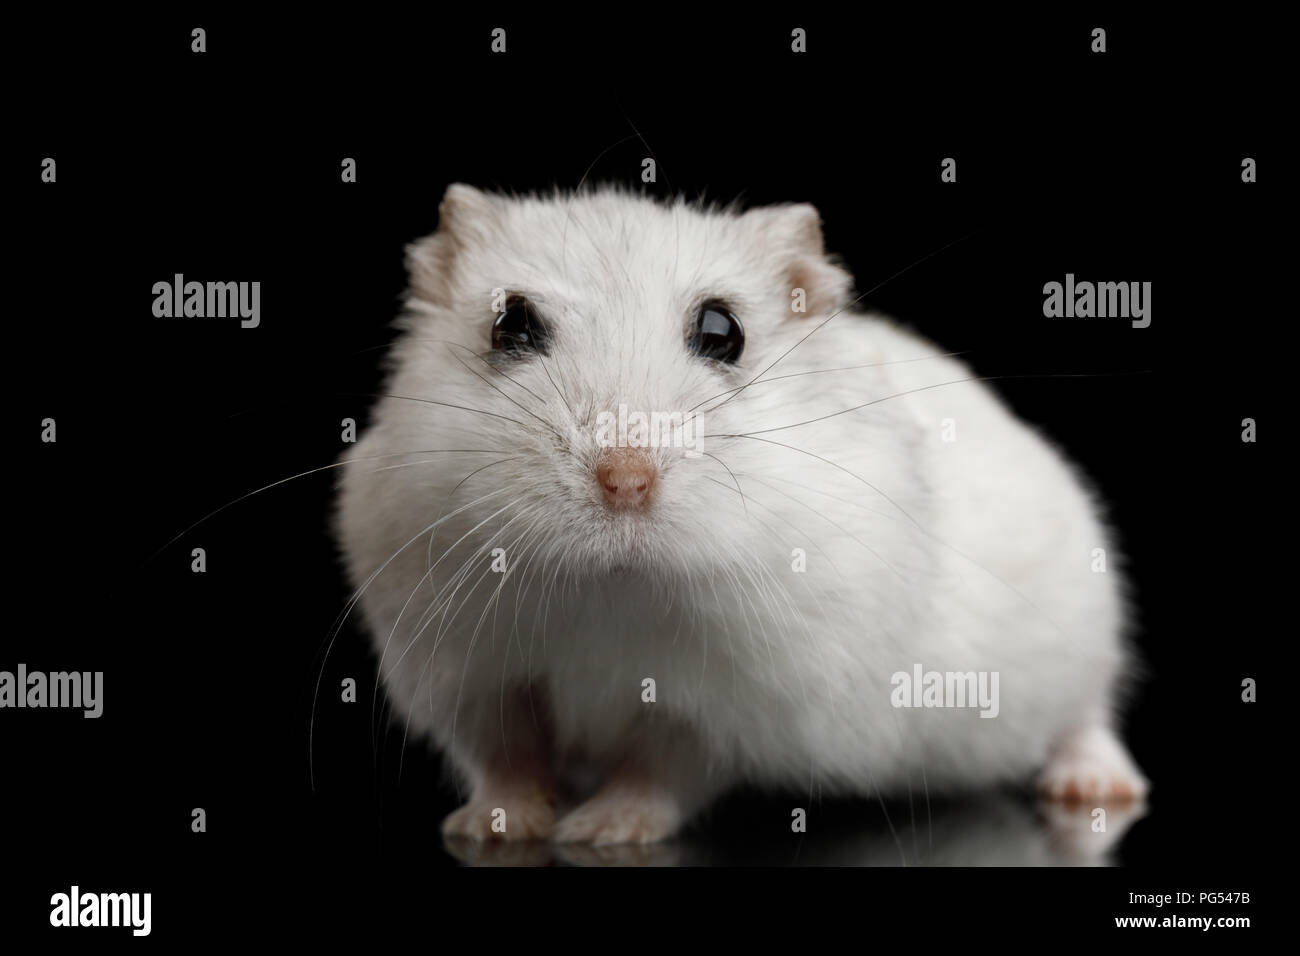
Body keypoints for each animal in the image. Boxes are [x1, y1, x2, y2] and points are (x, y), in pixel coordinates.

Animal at [335, 184, 1149, 842]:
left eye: (722, 331)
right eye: (510, 324)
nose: (624, 481)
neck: (610, 592)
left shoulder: (727, 703)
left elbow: (661, 768)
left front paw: (602, 833)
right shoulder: (471, 677)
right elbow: (508, 759)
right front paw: (494, 828)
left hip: (1083, 636)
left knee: (1088, 718)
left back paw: (1094, 786)